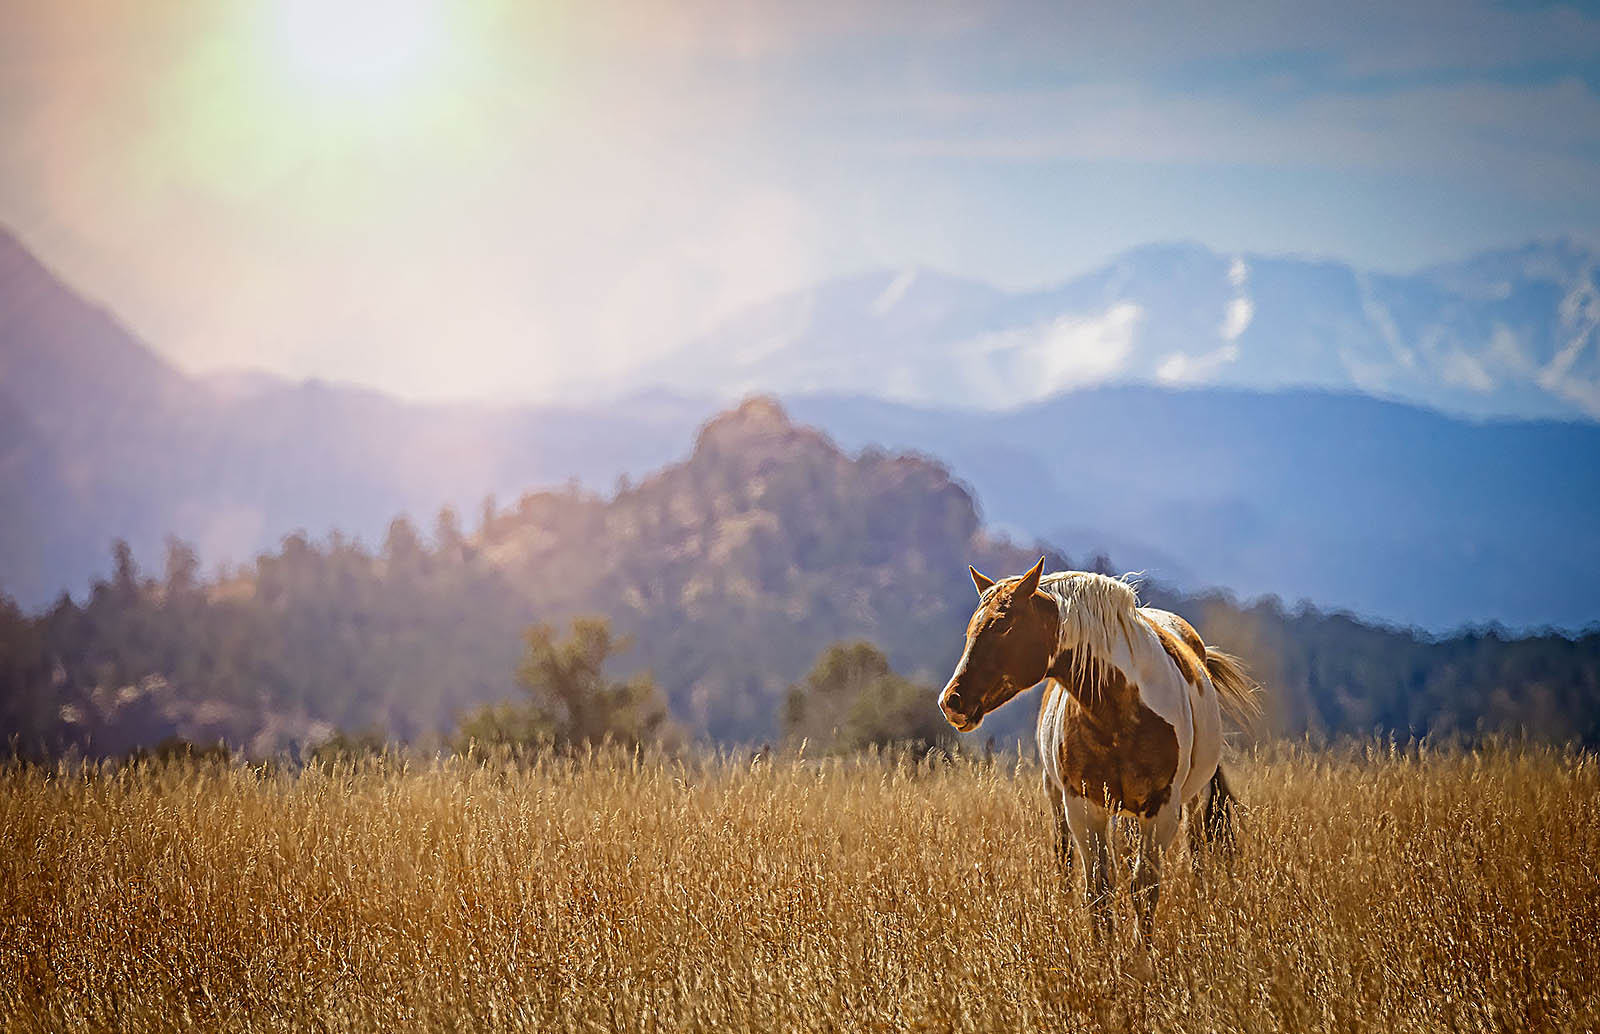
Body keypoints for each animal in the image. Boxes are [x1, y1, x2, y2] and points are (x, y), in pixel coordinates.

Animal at [938, 557, 1260, 938]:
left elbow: (1144, 887)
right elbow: (1099, 890)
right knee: (1064, 856)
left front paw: (1141, 952)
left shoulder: (1162, 808)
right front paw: (1104, 951)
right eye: (972, 629)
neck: (1118, 711)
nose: (952, 701)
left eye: (1004, 626)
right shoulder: (1083, 806)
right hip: (1060, 798)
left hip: (1194, 798)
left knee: (1197, 851)